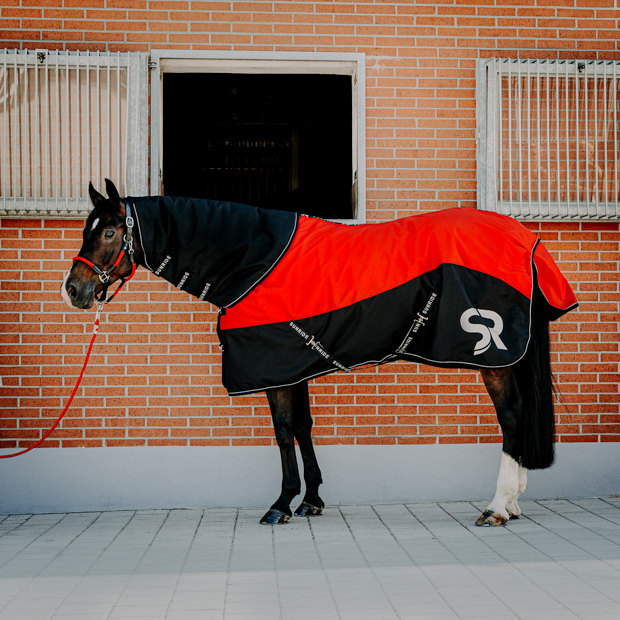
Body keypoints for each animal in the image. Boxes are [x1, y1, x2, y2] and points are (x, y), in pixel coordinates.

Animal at [59, 180, 576, 528]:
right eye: (89, 229)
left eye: (109, 233)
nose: (73, 290)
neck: (252, 260)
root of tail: (525, 239)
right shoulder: (294, 364)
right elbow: (305, 427)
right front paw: (311, 500)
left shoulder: (274, 367)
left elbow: (284, 430)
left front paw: (280, 504)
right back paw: (513, 504)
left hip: (495, 359)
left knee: (512, 416)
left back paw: (498, 507)